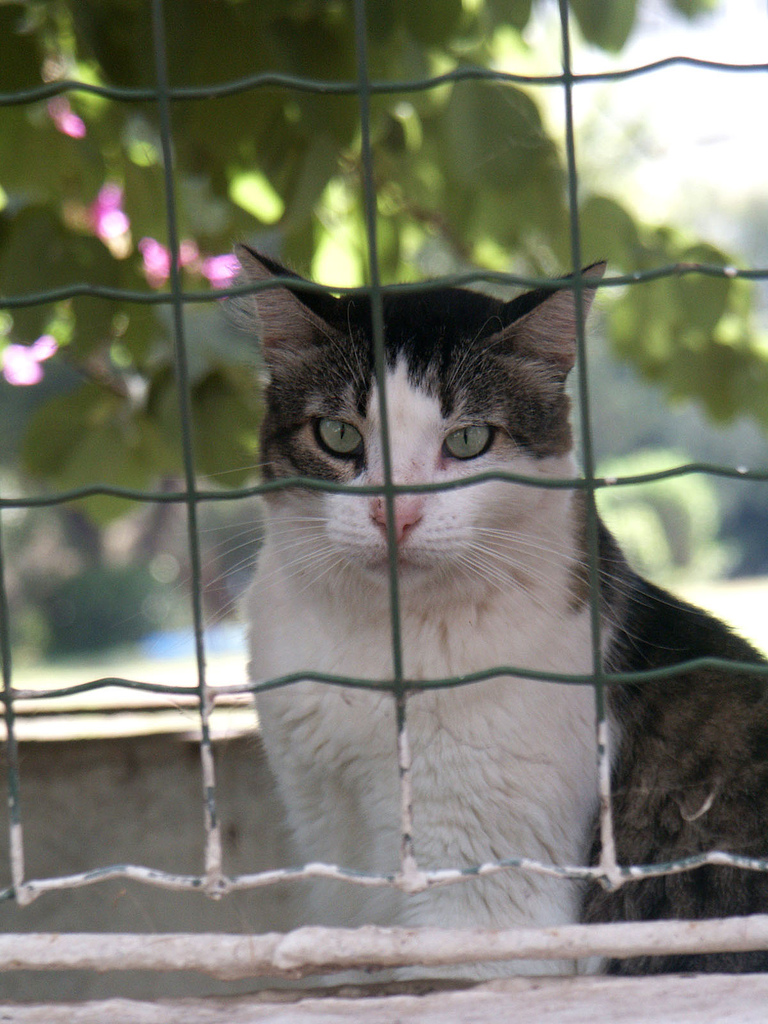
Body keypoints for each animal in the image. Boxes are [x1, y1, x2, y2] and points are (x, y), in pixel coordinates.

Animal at [236, 244, 768, 977]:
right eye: (339, 434)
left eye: (468, 442)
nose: (395, 513)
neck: (382, 641)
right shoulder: (331, 844)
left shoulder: (482, 906)